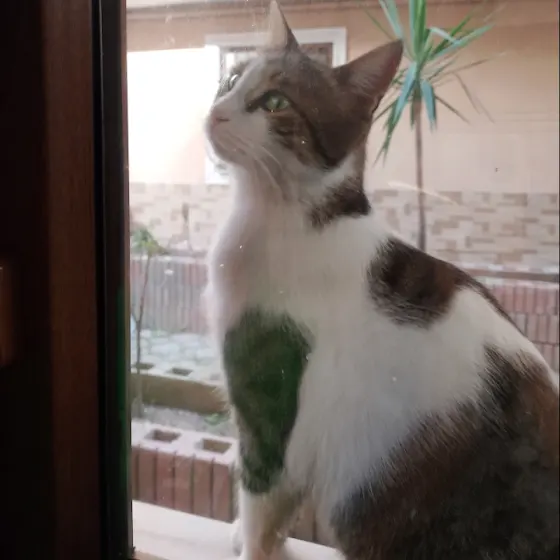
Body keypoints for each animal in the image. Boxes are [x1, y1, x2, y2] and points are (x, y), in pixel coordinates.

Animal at [204, 2, 559, 559]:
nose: (216, 111)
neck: (283, 217)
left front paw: (252, 546)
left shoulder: (272, 388)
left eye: (276, 101)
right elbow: (278, 510)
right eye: (233, 79)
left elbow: (263, 491)